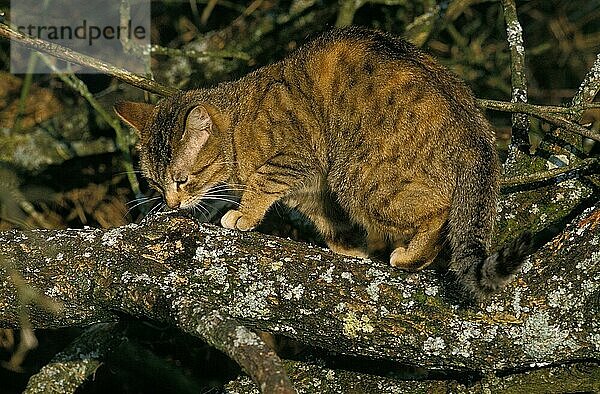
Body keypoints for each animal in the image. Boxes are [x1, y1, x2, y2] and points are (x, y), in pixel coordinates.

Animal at [115, 27, 532, 298]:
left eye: (182, 180)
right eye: (155, 184)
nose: (171, 203)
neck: (238, 126)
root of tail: (474, 130)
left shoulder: (294, 160)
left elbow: (261, 184)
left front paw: (242, 215)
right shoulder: (313, 190)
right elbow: (328, 221)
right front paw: (349, 247)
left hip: (360, 179)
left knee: (438, 212)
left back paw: (410, 255)